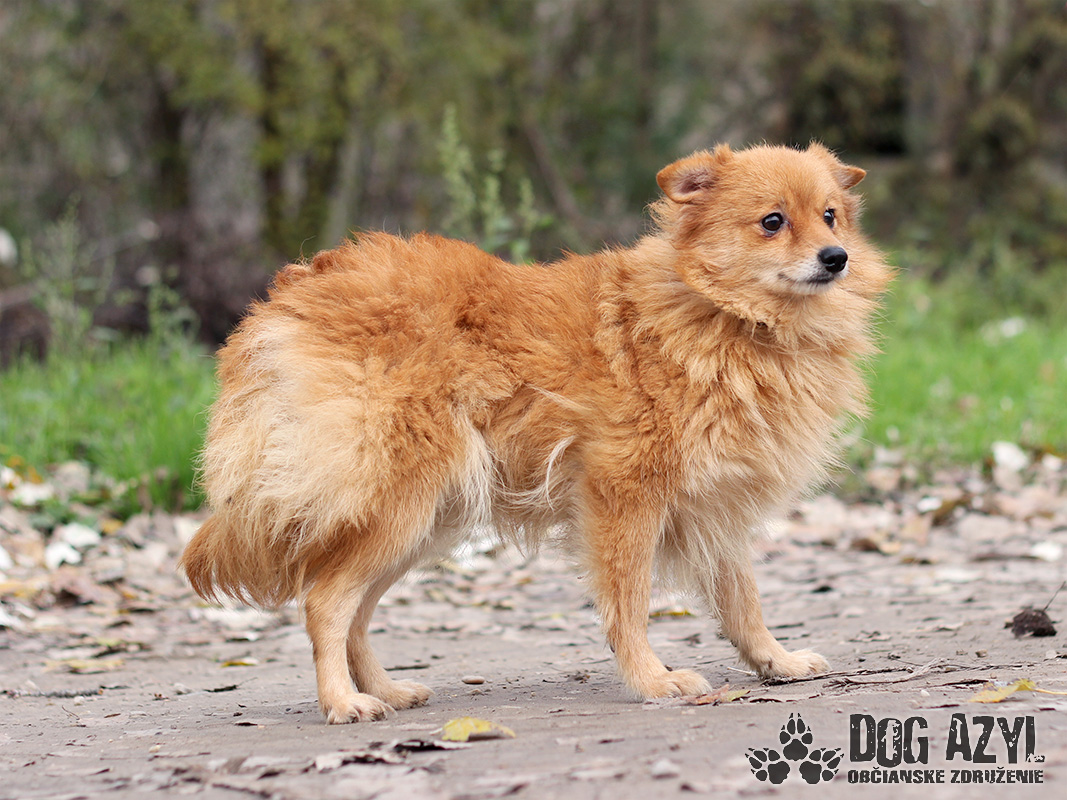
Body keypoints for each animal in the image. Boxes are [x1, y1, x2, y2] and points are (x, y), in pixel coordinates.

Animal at [181, 142, 891, 724]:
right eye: (773, 221)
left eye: (830, 216)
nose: (836, 258)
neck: (723, 314)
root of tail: (296, 290)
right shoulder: (624, 497)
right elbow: (629, 603)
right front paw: (654, 681)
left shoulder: (712, 509)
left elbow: (743, 603)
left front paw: (775, 663)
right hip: (400, 505)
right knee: (325, 603)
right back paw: (343, 702)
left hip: (421, 520)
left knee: (352, 610)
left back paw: (384, 689)